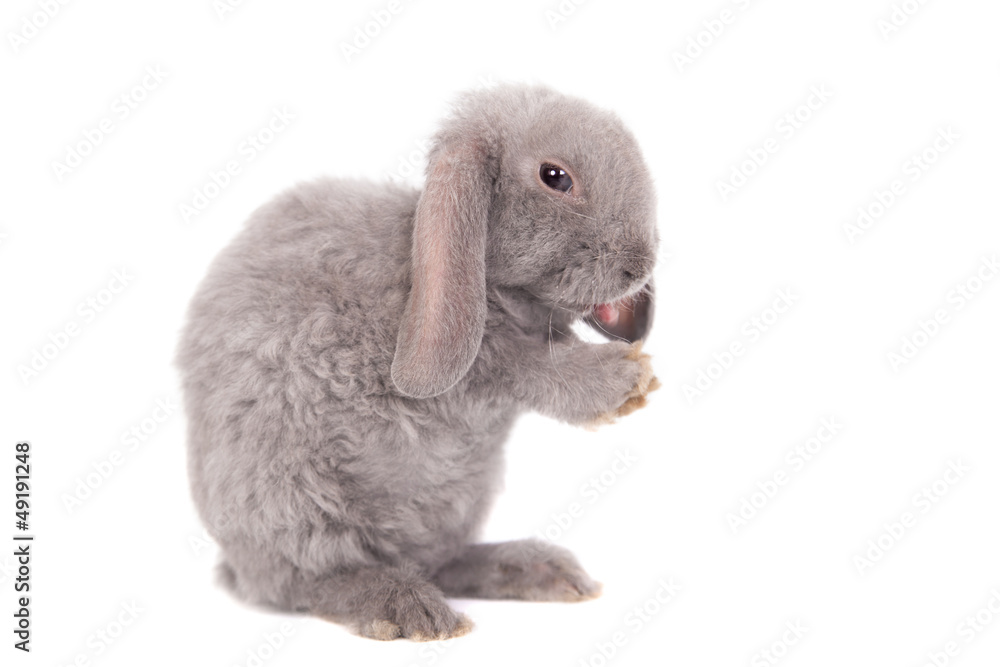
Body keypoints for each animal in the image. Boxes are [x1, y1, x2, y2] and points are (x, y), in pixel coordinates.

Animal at [176, 83, 660, 641]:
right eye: (555, 177)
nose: (639, 264)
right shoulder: (487, 364)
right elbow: (537, 369)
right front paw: (630, 378)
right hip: (294, 501)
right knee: (309, 579)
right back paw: (405, 607)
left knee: (439, 560)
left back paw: (535, 569)